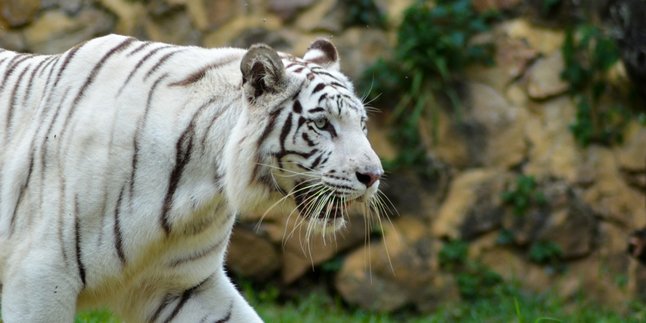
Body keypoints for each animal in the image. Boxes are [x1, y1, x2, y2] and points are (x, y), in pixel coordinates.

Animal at [0, 34, 384, 322]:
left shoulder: (183, 285)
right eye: (322, 124)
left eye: (363, 124)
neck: (201, 184)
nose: (374, 176)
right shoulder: (41, 277)